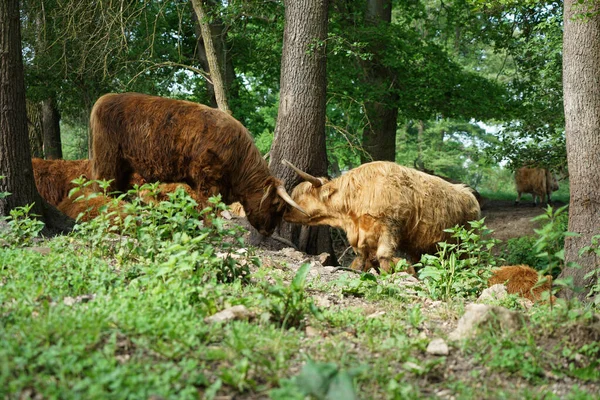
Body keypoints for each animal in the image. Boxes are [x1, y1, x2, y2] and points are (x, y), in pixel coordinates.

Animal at [90, 92, 304, 236]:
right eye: (276, 205)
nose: (269, 231)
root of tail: (104, 99)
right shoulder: (208, 180)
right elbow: (209, 209)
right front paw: (211, 232)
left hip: (126, 166)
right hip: (108, 161)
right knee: (103, 188)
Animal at [282, 159, 482, 272]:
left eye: (299, 196)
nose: (284, 212)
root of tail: (470, 194)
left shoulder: (389, 226)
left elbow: (384, 256)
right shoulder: (362, 236)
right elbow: (362, 259)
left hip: (466, 245)